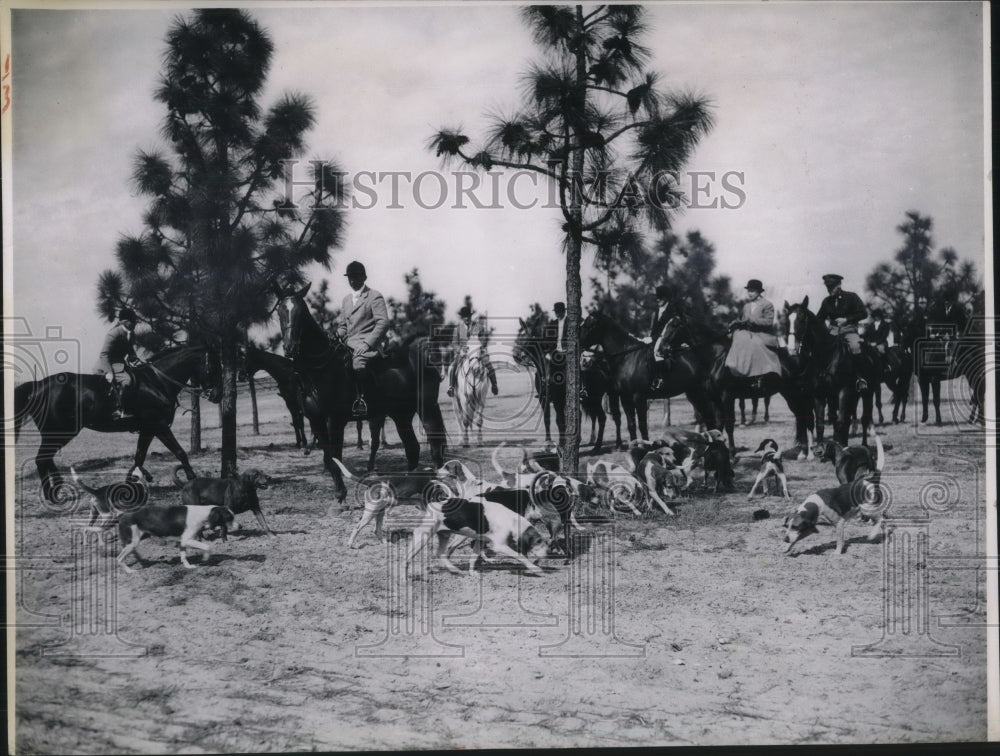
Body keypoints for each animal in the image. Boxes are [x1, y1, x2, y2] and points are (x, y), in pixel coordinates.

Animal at [14, 342, 221, 502]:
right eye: (212, 366)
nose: (216, 395)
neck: (157, 382)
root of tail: (39, 385)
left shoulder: (147, 429)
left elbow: (139, 457)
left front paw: (130, 485)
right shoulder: (159, 426)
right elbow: (180, 452)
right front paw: (192, 479)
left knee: (46, 459)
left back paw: (56, 491)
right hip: (60, 432)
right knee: (42, 459)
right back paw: (53, 495)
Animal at [274, 284, 446, 502]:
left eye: (302, 312)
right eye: (280, 312)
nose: (290, 348)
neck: (320, 370)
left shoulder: (334, 420)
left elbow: (335, 457)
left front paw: (341, 495)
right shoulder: (316, 420)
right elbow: (329, 458)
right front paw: (339, 493)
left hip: (427, 409)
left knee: (435, 447)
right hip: (401, 415)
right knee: (412, 448)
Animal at [580, 312, 720, 446]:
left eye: (589, 325)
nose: (585, 360)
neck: (627, 357)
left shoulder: (639, 398)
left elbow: (643, 427)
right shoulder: (625, 399)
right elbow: (631, 425)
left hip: (702, 393)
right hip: (694, 393)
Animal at [656, 312, 812, 454]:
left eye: (674, 326)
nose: (659, 350)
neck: (717, 358)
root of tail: (799, 354)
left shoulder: (727, 397)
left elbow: (729, 425)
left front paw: (731, 453)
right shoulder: (715, 399)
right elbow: (718, 426)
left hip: (794, 392)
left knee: (802, 414)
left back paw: (805, 451)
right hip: (789, 393)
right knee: (799, 414)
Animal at [780, 296, 876, 448]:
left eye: (801, 319)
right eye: (787, 321)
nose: (791, 349)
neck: (826, 355)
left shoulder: (843, 391)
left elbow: (840, 422)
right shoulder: (819, 395)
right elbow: (820, 424)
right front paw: (820, 448)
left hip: (867, 393)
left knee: (864, 419)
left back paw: (863, 445)